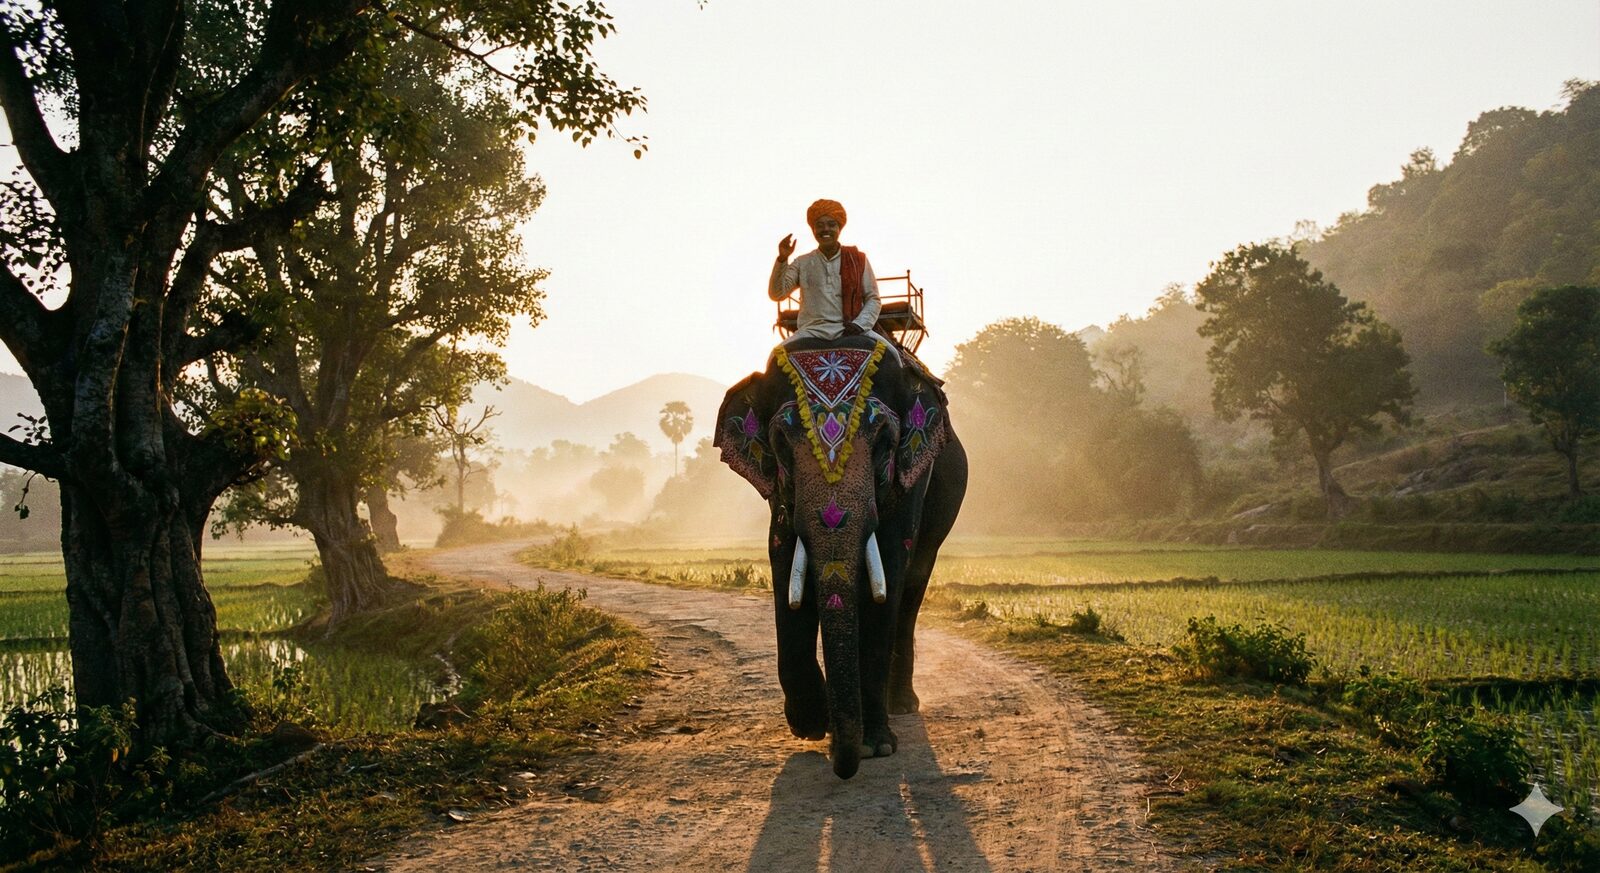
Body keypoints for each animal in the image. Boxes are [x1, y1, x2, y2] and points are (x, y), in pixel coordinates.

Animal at [715, 335, 967, 779]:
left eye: (884, 441)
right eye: (781, 443)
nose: (842, 764)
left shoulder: (912, 475)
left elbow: (889, 560)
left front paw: (874, 746)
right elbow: (783, 556)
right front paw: (813, 725)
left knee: (912, 588)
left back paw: (901, 705)